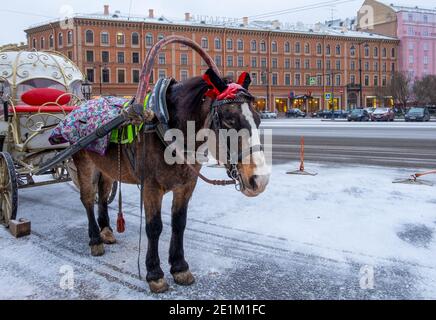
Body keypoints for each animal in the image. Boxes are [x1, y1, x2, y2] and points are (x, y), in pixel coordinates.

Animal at [71, 71, 270, 294]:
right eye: (229, 120)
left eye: (258, 120)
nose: (260, 179)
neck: (168, 127)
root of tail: (82, 104)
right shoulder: (151, 187)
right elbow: (154, 227)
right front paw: (155, 273)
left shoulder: (186, 185)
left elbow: (179, 223)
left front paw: (179, 266)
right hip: (85, 163)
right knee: (88, 199)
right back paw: (95, 239)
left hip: (106, 167)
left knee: (103, 196)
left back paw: (105, 231)